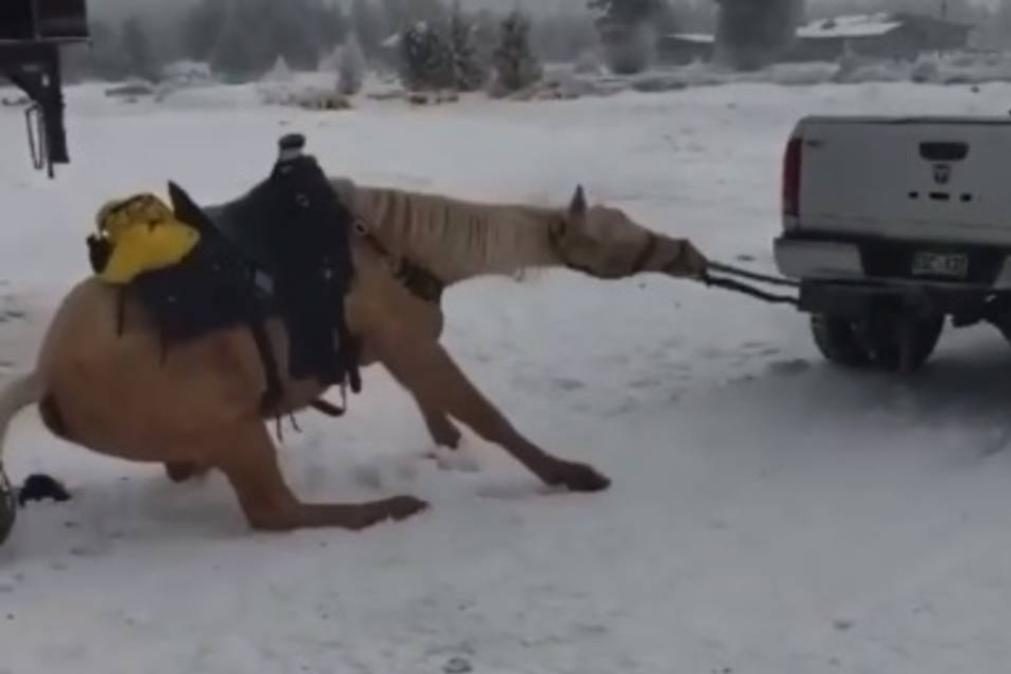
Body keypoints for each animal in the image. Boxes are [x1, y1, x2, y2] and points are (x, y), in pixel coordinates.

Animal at [0, 180, 707, 537]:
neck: (397, 247)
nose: (689, 253)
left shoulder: (396, 348)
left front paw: (453, 453)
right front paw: (570, 474)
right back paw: (388, 508)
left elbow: (442, 413)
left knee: (198, 474)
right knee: (274, 514)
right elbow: (484, 415)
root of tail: (44, 375)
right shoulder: (411, 344)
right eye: (616, 240)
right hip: (237, 429)